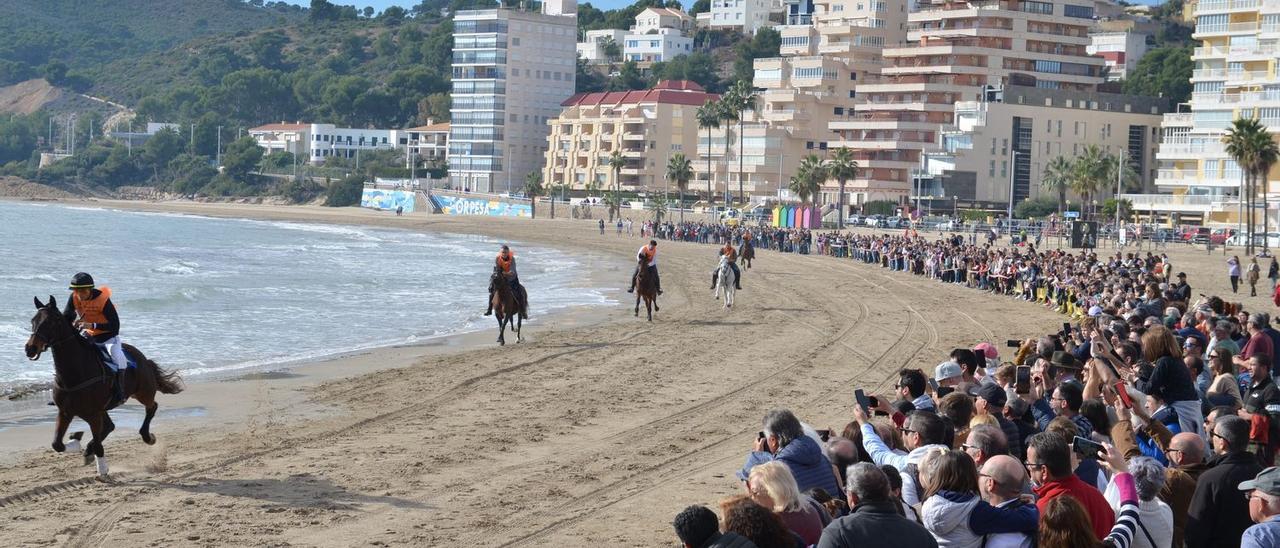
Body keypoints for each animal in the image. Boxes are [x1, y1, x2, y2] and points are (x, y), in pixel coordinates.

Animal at [25, 295, 183, 476]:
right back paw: (88, 449)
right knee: (109, 426)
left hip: (143, 392)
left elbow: (98, 444)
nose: (30, 348)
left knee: (152, 407)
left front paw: (102, 469)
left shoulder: (93, 414)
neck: (74, 374)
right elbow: (57, 444)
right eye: (33, 320)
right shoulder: (65, 412)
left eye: (51, 322)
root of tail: (144, 359)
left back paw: (148, 437)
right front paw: (78, 443)